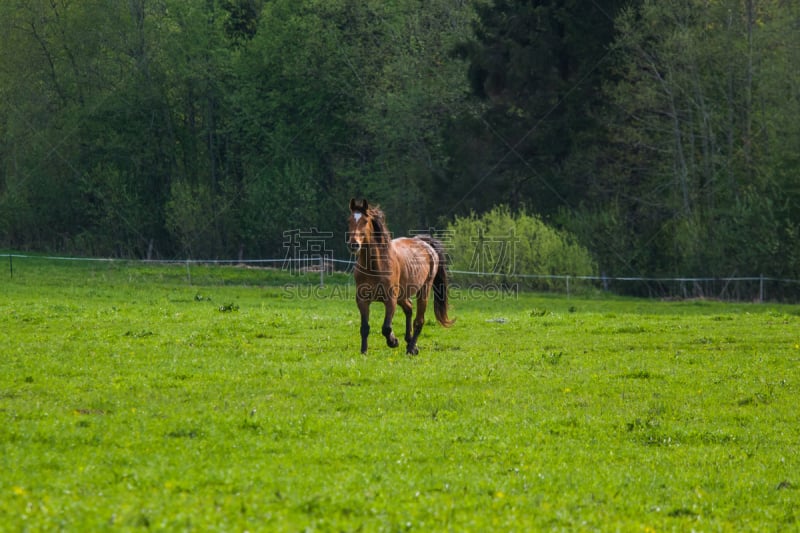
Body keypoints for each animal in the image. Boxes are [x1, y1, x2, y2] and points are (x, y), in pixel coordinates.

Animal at [346, 198, 454, 354]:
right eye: (349, 220)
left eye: (365, 221)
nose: (353, 245)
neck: (376, 266)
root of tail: (425, 244)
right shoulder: (362, 300)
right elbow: (365, 327)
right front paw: (364, 351)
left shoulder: (390, 300)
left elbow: (386, 327)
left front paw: (393, 341)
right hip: (402, 294)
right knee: (409, 308)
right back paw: (409, 342)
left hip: (424, 290)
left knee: (419, 321)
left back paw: (411, 349)